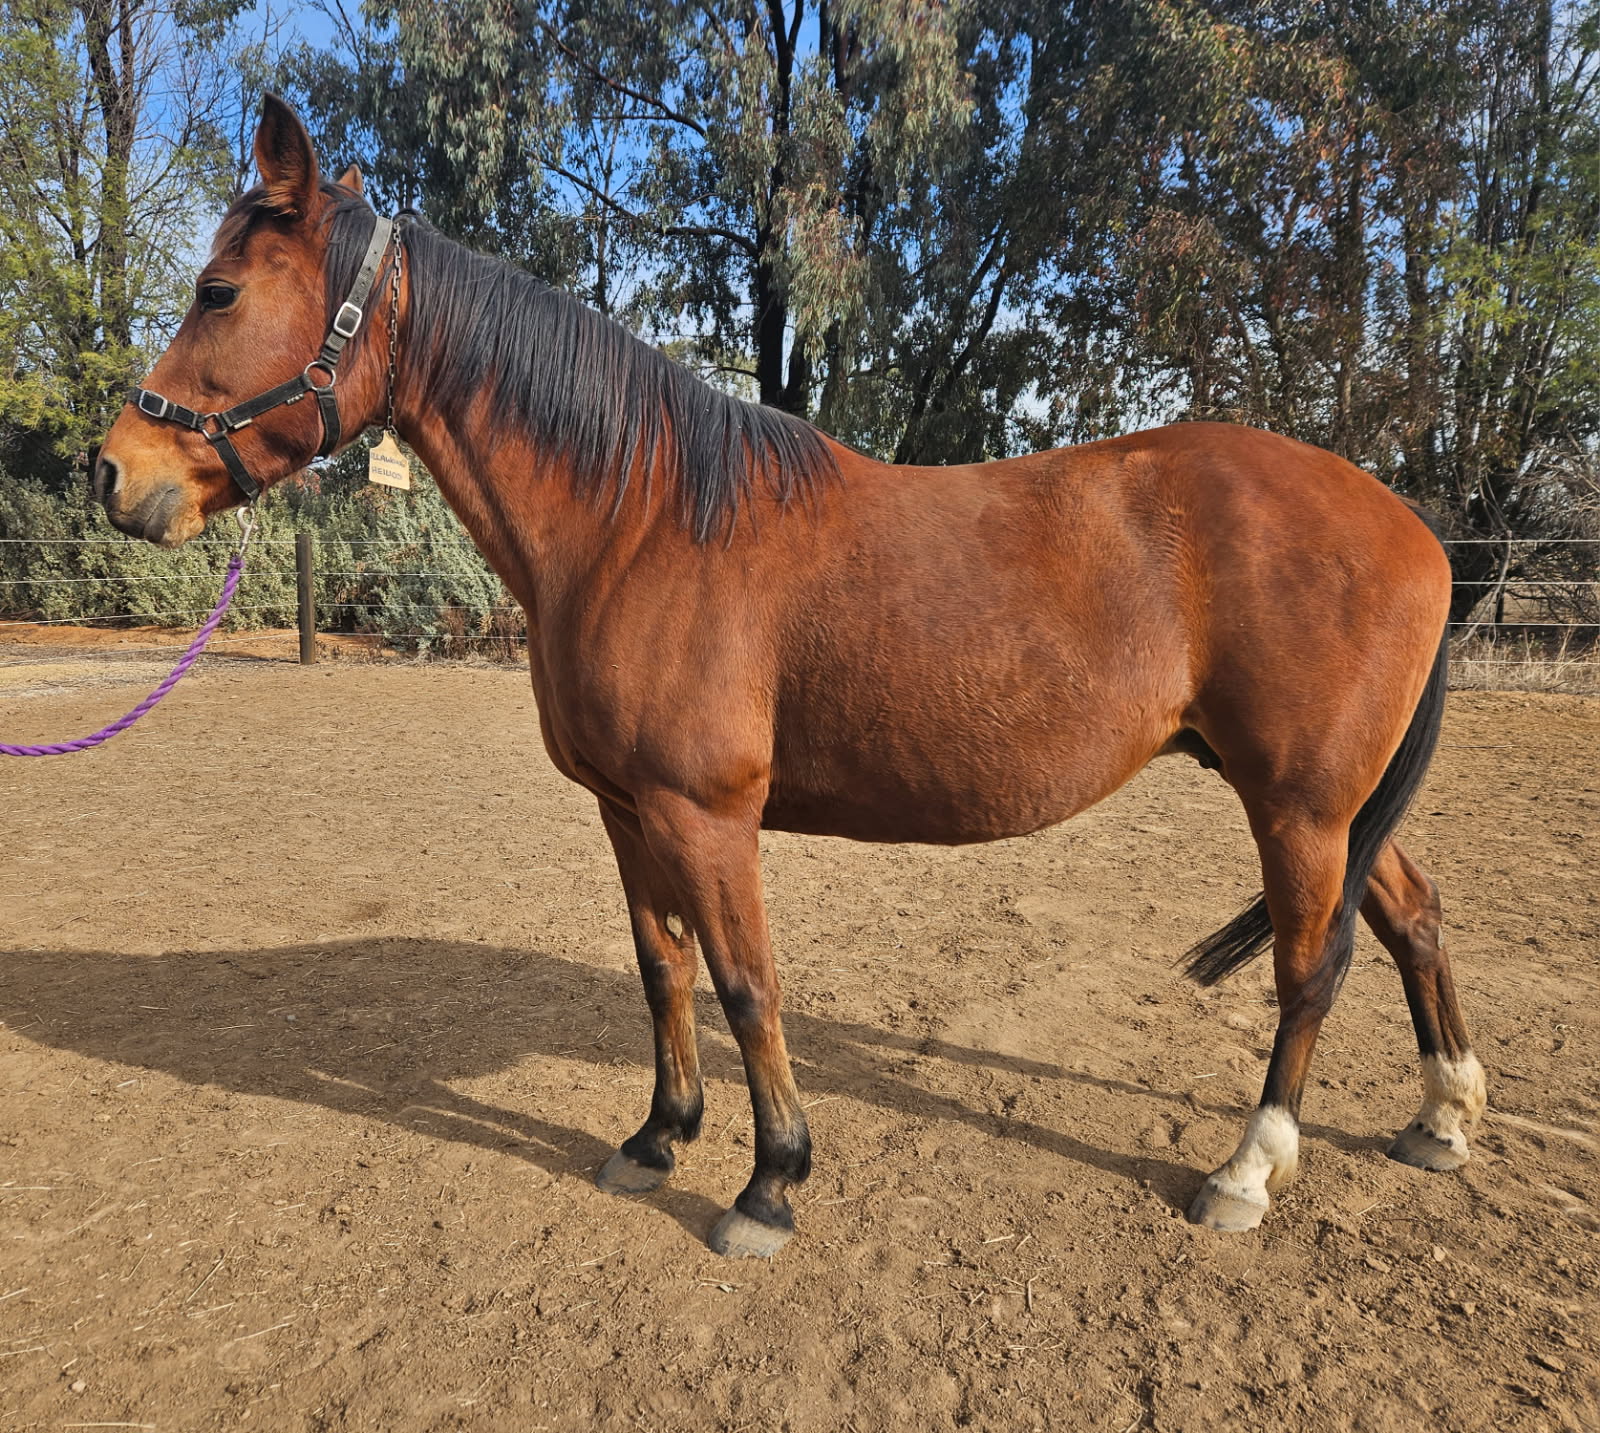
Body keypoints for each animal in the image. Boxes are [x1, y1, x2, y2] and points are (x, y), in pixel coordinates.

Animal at [93, 96, 1486, 1259]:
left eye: (218, 289)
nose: (114, 472)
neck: (641, 517)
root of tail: (1411, 526)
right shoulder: (627, 810)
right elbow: (663, 971)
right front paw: (658, 1137)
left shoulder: (708, 815)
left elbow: (746, 982)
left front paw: (769, 1183)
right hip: (1327, 805)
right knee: (1408, 913)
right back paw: (1444, 1111)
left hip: (1295, 806)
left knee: (1309, 968)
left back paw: (1247, 1170)